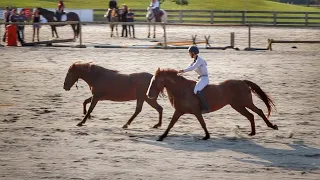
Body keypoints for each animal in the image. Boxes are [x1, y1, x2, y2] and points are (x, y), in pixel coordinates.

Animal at [147, 68, 278, 141]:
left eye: (154, 81)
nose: (148, 95)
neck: (182, 90)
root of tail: (242, 81)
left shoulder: (196, 111)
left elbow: (202, 123)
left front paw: (206, 136)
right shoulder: (179, 111)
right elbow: (171, 124)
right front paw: (161, 136)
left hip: (245, 103)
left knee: (259, 111)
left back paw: (272, 126)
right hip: (238, 106)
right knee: (251, 115)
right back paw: (252, 132)